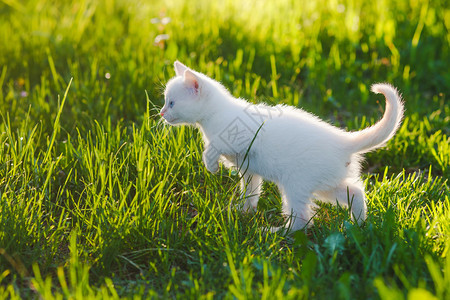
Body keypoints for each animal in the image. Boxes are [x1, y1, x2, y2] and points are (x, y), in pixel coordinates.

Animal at [161, 61, 404, 232]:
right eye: (165, 101)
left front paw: (211, 166)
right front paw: (243, 212)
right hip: (325, 184)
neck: (215, 115)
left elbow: (212, 148)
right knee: (355, 192)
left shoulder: (240, 139)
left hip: (295, 184)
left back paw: (275, 232)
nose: (162, 113)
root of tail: (342, 140)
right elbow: (250, 192)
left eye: (171, 103)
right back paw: (358, 225)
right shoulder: (248, 169)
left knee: (303, 220)